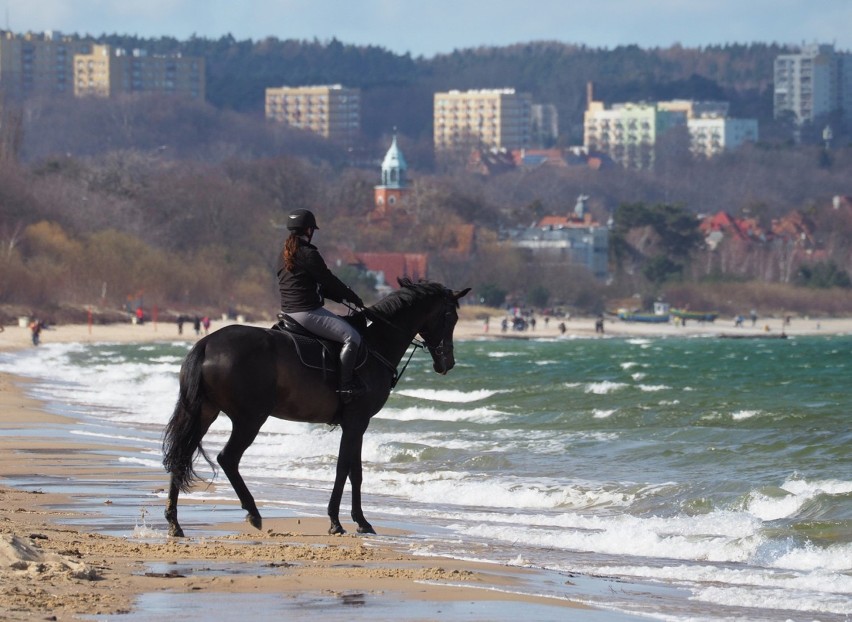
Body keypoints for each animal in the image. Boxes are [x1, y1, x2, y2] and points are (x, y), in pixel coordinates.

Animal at [162, 280, 470, 540]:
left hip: (204, 413)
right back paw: (253, 513)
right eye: (450, 318)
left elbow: (355, 471)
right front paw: (338, 521)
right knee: (227, 458)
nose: (447, 363)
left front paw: (360, 521)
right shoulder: (357, 421)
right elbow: (344, 468)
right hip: (250, 419)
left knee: (181, 455)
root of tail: (207, 343)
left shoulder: (355, 424)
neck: (376, 344)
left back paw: (175, 523)